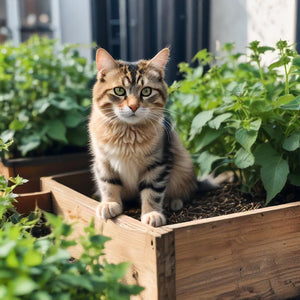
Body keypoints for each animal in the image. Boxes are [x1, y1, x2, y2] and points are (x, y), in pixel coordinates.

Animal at [89, 47, 200, 227]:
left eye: (146, 91)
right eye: (119, 91)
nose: (133, 106)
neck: (127, 133)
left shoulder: (158, 163)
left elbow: (152, 192)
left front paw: (152, 214)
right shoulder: (103, 161)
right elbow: (108, 184)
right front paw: (110, 204)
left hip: (183, 165)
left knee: (185, 192)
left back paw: (174, 202)